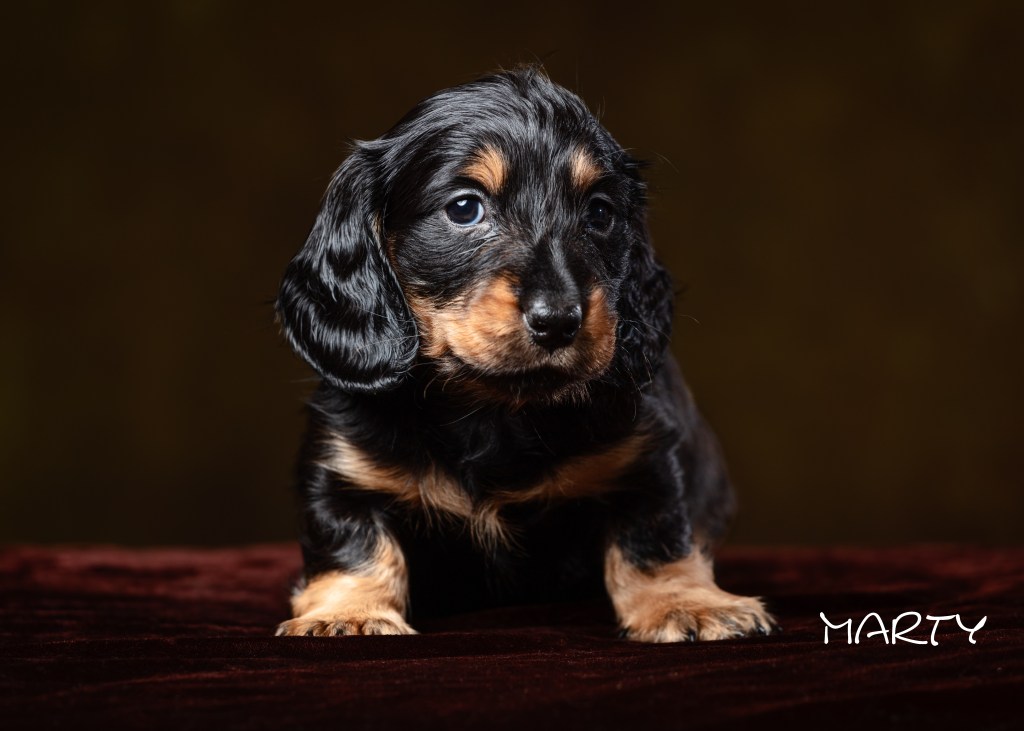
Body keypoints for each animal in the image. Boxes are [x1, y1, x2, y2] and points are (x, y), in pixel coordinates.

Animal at [274, 68, 775, 642]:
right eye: (465, 207)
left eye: (600, 212)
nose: (558, 320)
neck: (494, 411)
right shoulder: (343, 468)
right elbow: (353, 544)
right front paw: (348, 613)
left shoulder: (647, 457)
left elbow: (655, 537)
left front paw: (687, 604)